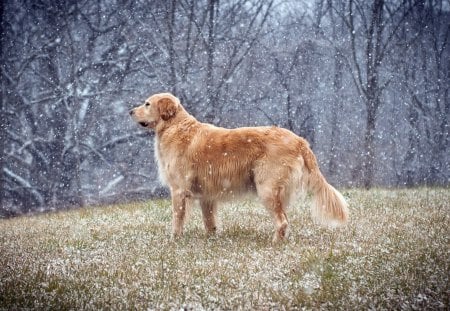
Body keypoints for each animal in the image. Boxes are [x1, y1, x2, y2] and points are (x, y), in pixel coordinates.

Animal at [130, 93, 348, 244]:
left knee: (282, 221)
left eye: (147, 104)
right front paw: (211, 240)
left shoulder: (179, 190)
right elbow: (209, 223)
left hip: (266, 189)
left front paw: (174, 240)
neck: (175, 126)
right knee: (285, 220)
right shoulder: (206, 196)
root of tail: (299, 140)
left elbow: (177, 219)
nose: (130, 111)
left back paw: (273, 243)